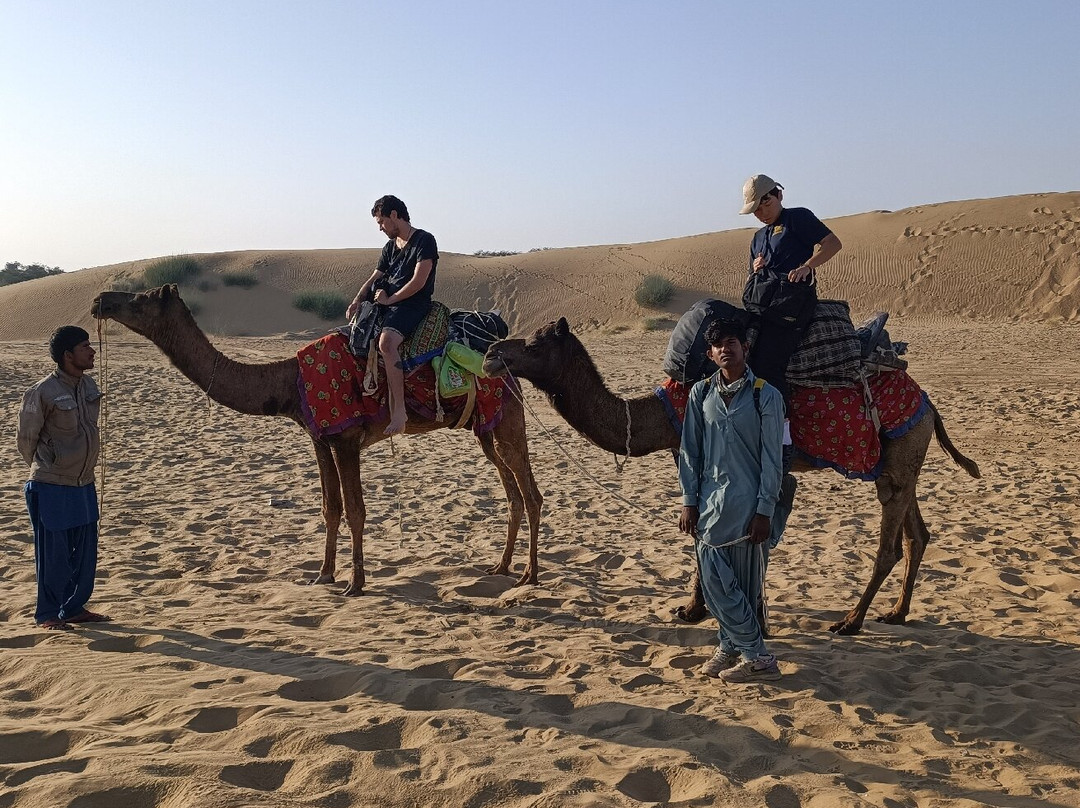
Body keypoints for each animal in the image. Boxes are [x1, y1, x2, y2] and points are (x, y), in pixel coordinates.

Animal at [90, 285, 544, 594]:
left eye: (140, 299)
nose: (101, 299)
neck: (289, 379)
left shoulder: (346, 438)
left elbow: (356, 509)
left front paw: (355, 584)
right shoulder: (319, 439)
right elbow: (330, 507)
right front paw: (322, 575)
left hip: (506, 416)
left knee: (531, 493)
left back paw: (529, 575)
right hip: (486, 428)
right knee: (513, 493)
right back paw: (501, 568)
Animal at [482, 317, 980, 635]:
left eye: (536, 344)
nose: (490, 354)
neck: (660, 412)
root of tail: (927, 403)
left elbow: (707, 527)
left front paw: (694, 608)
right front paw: (699, 607)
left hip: (899, 454)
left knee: (891, 545)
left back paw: (851, 621)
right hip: (901, 459)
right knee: (918, 535)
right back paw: (896, 613)